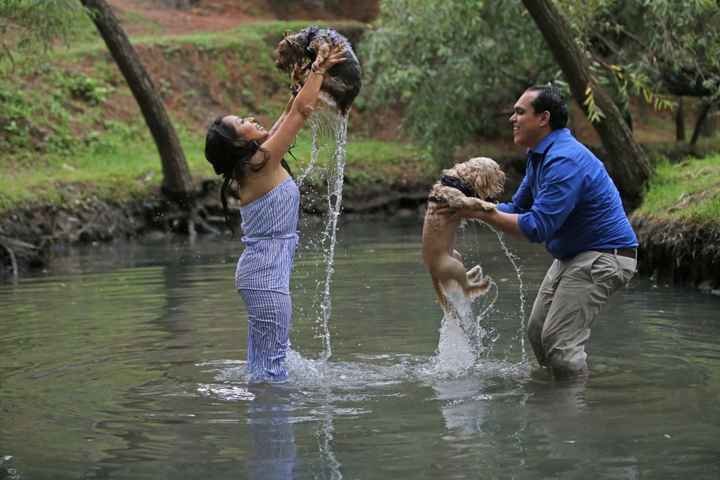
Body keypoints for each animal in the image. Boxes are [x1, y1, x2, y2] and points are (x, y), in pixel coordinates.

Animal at [422, 156, 506, 310]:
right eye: (496, 169)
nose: (504, 175)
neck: (457, 179)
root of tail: (432, 271)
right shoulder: (458, 200)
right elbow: (474, 199)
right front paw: (488, 205)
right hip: (455, 266)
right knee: (466, 288)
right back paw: (483, 283)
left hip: (457, 255)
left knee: (465, 281)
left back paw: (474, 272)